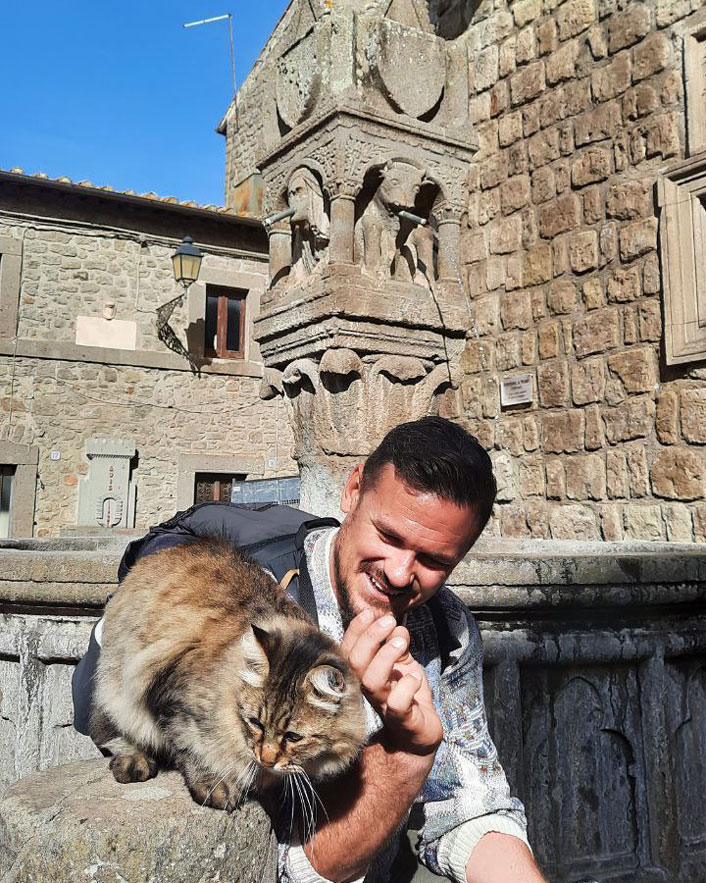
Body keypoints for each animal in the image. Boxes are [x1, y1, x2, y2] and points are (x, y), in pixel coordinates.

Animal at [91, 536, 366, 812]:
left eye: (293, 736)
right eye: (255, 723)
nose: (266, 759)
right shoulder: (171, 697)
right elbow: (192, 749)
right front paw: (215, 783)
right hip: (116, 684)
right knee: (111, 729)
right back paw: (133, 760)